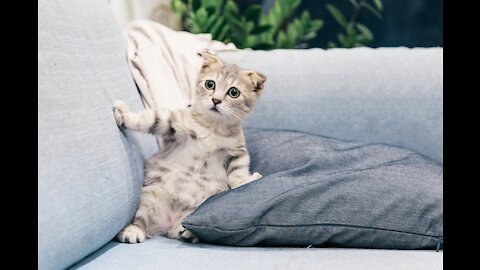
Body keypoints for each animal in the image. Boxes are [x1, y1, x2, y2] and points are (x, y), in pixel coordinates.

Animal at [115, 51, 268, 244]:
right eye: (210, 84)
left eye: (234, 92)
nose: (216, 100)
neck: (213, 128)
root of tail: (168, 224)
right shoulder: (173, 125)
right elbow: (151, 120)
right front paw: (123, 115)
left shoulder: (237, 152)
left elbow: (237, 173)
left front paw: (245, 181)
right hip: (150, 196)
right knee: (141, 219)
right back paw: (133, 231)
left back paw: (185, 231)